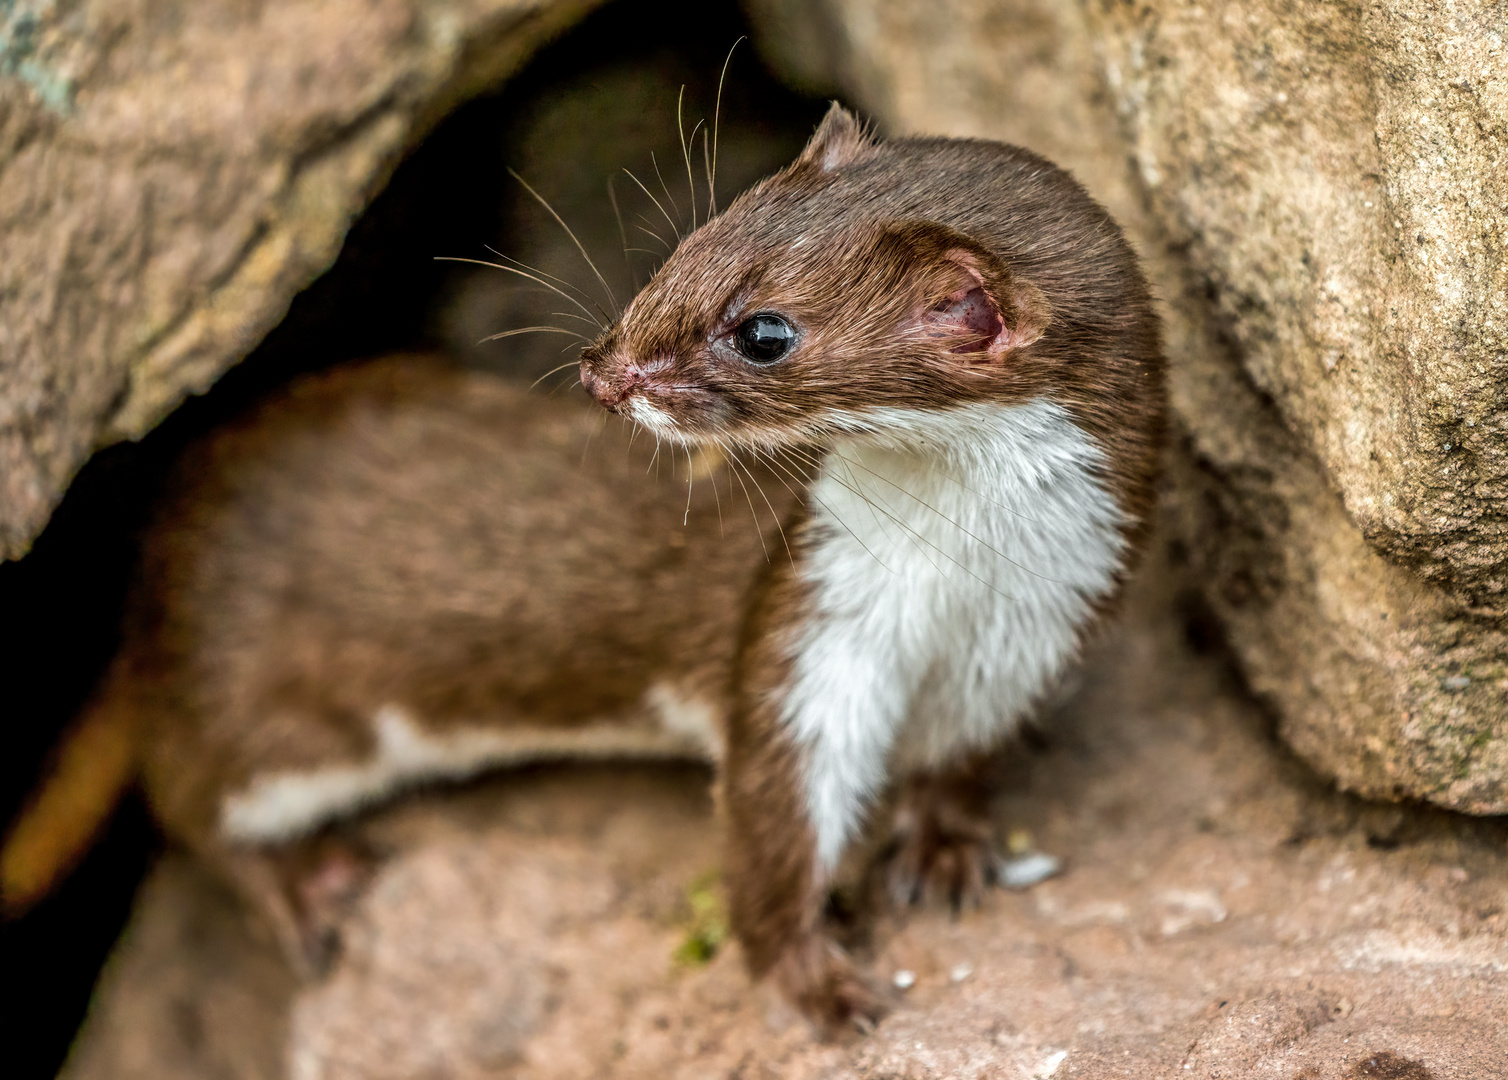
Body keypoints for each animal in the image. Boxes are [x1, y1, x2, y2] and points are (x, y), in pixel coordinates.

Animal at [2, 107, 1164, 1031]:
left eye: (765, 330)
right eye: (695, 240)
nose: (601, 374)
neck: (957, 580)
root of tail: (163, 541)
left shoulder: (1032, 639)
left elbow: (960, 766)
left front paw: (948, 856)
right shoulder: (804, 630)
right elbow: (774, 822)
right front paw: (819, 985)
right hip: (258, 710)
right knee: (189, 799)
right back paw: (307, 888)